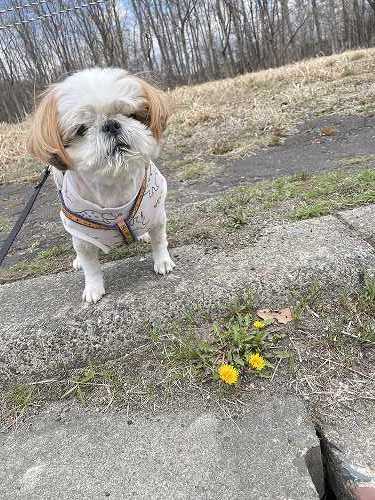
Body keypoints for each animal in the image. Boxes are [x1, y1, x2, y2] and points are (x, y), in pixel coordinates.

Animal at [28, 66, 176, 300]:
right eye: (81, 129)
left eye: (130, 114)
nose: (111, 125)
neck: (113, 182)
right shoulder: (82, 237)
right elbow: (90, 265)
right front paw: (93, 288)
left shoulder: (156, 213)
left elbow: (159, 239)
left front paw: (162, 261)